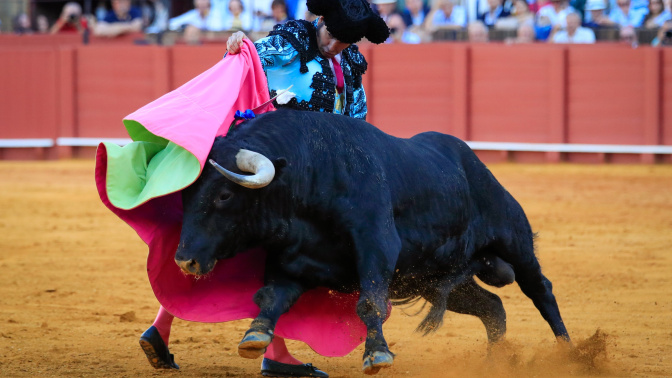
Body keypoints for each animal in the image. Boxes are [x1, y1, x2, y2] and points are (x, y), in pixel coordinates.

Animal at [173, 108, 568, 376]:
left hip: (513, 240)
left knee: (541, 289)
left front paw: (377, 354)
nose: (184, 260)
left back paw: (569, 352)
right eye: (187, 193)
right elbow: (271, 298)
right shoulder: (293, 262)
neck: (311, 172)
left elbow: (370, 304)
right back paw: (493, 364)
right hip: (435, 278)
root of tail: (473, 162)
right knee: (493, 307)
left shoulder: (376, 246)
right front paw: (254, 335)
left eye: (224, 195)